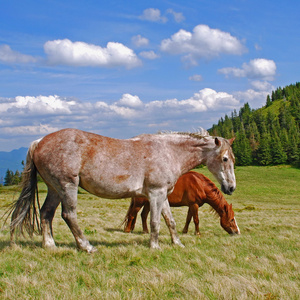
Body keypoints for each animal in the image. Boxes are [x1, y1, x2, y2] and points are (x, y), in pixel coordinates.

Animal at [9, 127, 236, 252]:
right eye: (225, 159)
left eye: (232, 159)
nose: (231, 187)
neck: (168, 151)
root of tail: (39, 142)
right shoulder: (155, 194)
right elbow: (155, 222)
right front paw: (155, 247)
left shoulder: (163, 195)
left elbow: (170, 221)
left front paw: (177, 243)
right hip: (67, 186)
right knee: (69, 215)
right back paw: (86, 246)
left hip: (54, 189)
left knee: (46, 213)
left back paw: (50, 245)